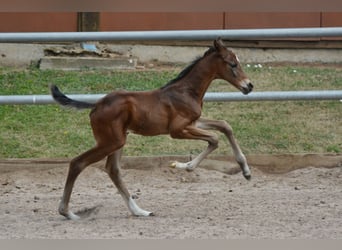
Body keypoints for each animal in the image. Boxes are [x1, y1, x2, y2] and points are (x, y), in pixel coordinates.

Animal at [50, 38, 254, 220]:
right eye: (233, 64)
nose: (249, 86)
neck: (186, 91)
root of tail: (96, 105)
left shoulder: (193, 123)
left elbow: (225, 126)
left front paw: (246, 172)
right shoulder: (177, 130)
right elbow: (214, 139)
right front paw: (184, 166)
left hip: (118, 141)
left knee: (113, 170)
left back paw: (139, 211)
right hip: (111, 142)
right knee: (78, 163)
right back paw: (67, 212)